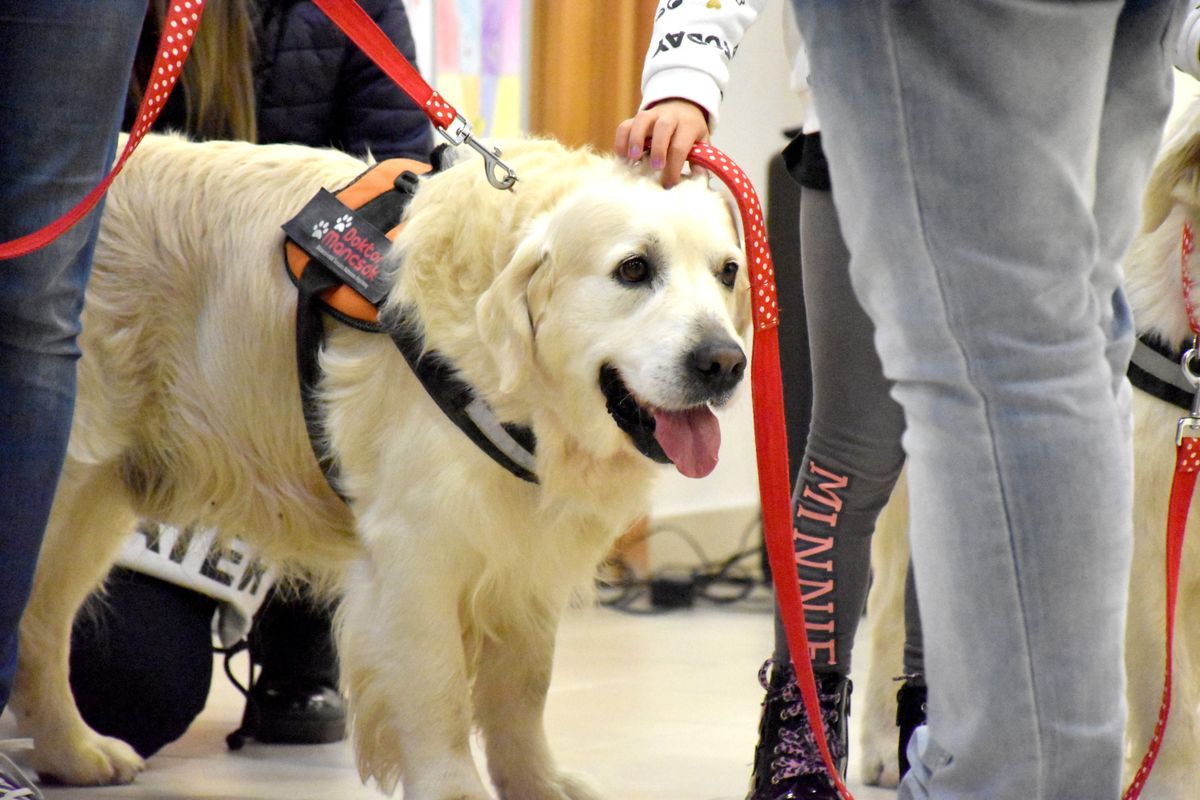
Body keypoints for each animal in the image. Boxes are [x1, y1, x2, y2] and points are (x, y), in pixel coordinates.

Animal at [11, 134, 748, 796]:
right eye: (633, 269)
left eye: (728, 272)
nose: (724, 362)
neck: (501, 376)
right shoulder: (416, 553)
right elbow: (440, 692)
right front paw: (456, 791)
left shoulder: (524, 551)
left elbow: (523, 695)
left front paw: (538, 784)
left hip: (93, 501)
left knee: (40, 627)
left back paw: (73, 752)